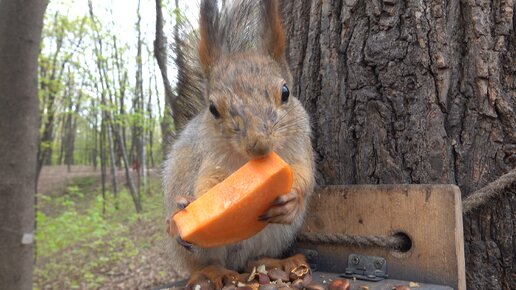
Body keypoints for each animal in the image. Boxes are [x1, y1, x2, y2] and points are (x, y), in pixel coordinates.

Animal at [163, 0, 314, 286]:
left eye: (286, 92)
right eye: (213, 108)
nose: (259, 144)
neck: (247, 162)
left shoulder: (301, 144)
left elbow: (305, 175)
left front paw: (292, 199)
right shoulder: (211, 157)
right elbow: (207, 184)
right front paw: (191, 202)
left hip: (274, 236)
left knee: (252, 260)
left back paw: (277, 263)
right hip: (194, 249)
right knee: (205, 262)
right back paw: (211, 270)